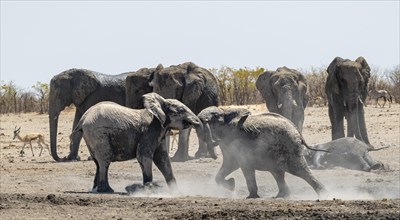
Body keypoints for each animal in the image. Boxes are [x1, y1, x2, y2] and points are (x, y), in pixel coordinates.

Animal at [70, 93, 217, 192]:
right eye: (181, 110)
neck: (159, 105)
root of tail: (83, 119)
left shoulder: (159, 132)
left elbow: (162, 158)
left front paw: (176, 192)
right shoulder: (149, 131)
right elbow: (144, 155)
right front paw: (149, 189)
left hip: (91, 135)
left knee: (97, 162)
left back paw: (96, 190)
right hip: (98, 133)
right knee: (105, 159)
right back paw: (107, 190)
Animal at [197, 106, 328, 199]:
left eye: (216, 115)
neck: (227, 112)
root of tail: (298, 132)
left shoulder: (239, 142)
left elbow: (245, 167)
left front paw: (250, 197)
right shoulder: (228, 144)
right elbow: (230, 165)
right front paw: (232, 185)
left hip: (291, 148)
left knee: (299, 170)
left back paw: (324, 195)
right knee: (278, 173)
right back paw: (280, 196)